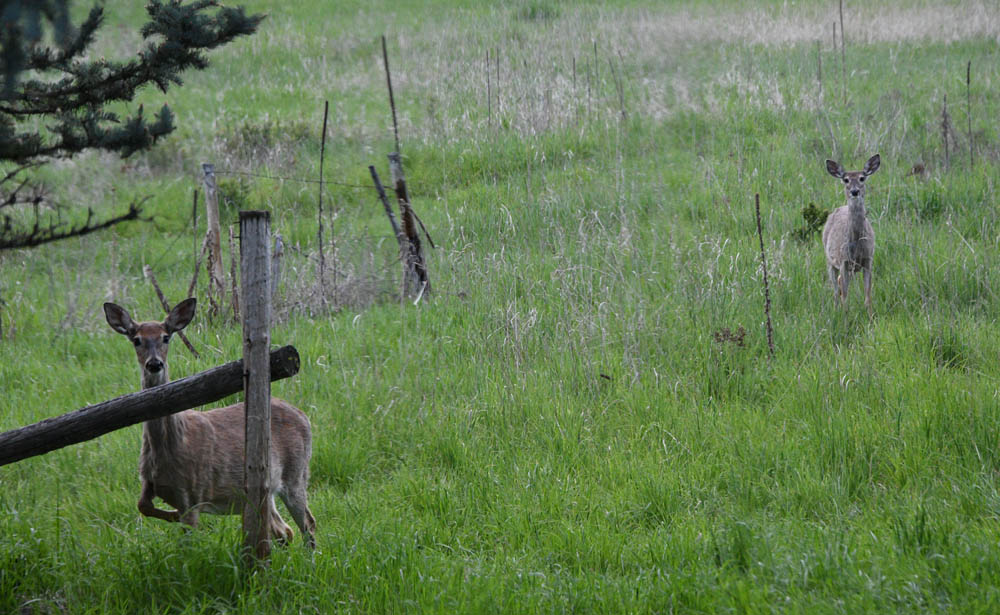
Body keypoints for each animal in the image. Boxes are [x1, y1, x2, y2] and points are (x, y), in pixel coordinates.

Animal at [103, 297, 316, 548]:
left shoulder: (192, 492)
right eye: (136, 340)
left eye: (166, 337)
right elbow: (142, 506)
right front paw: (171, 515)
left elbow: (187, 542)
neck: (168, 445)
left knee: (308, 523)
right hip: (267, 488)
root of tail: (303, 416)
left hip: (296, 472)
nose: (154, 364)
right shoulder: (148, 479)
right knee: (284, 530)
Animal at [822, 154, 881, 318]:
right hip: (830, 262)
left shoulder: (868, 259)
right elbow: (845, 296)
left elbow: (868, 294)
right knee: (836, 291)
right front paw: (845, 318)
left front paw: (870, 317)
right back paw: (836, 311)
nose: (854, 191)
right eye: (846, 179)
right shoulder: (843, 260)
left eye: (862, 178)